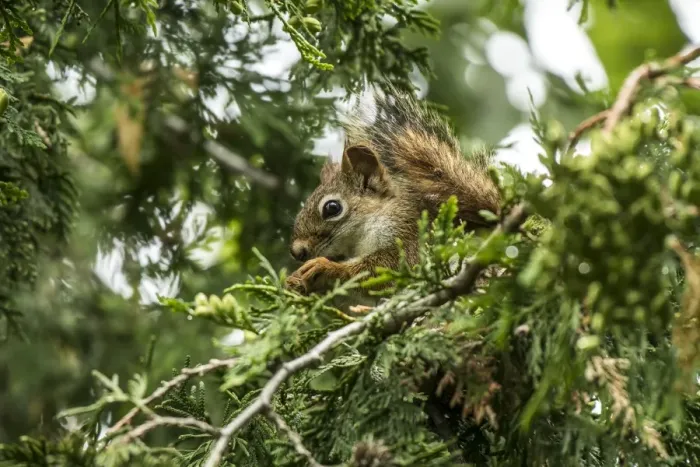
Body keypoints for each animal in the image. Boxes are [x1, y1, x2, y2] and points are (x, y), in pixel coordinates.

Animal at [284, 89, 501, 299]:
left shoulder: (409, 235)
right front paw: (295, 281)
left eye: (332, 208)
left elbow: (383, 268)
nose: (296, 252)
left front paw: (327, 268)